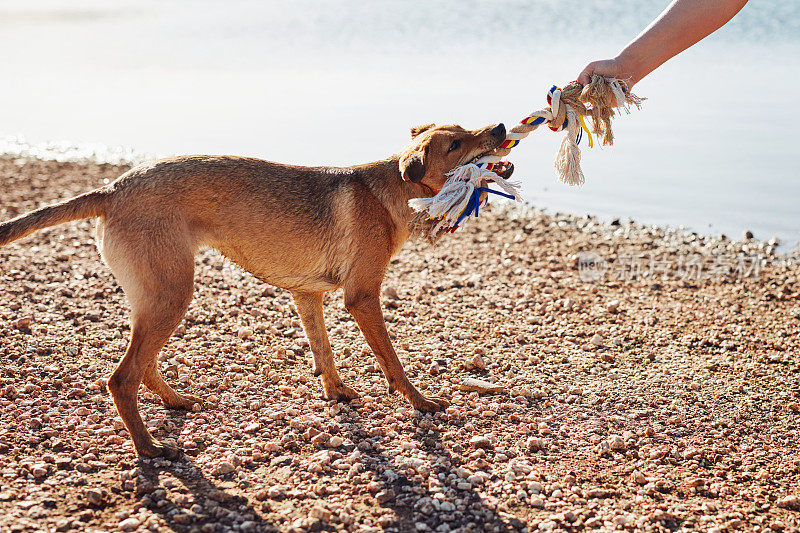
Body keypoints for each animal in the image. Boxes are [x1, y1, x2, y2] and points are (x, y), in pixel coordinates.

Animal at [0, 121, 512, 458]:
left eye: (464, 127)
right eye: (456, 143)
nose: (502, 125)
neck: (390, 192)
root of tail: (113, 188)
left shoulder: (308, 295)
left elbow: (323, 350)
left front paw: (336, 393)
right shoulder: (362, 297)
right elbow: (393, 362)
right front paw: (420, 403)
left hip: (154, 297)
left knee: (141, 366)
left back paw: (174, 403)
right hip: (171, 294)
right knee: (121, 378)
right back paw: (149, 449)